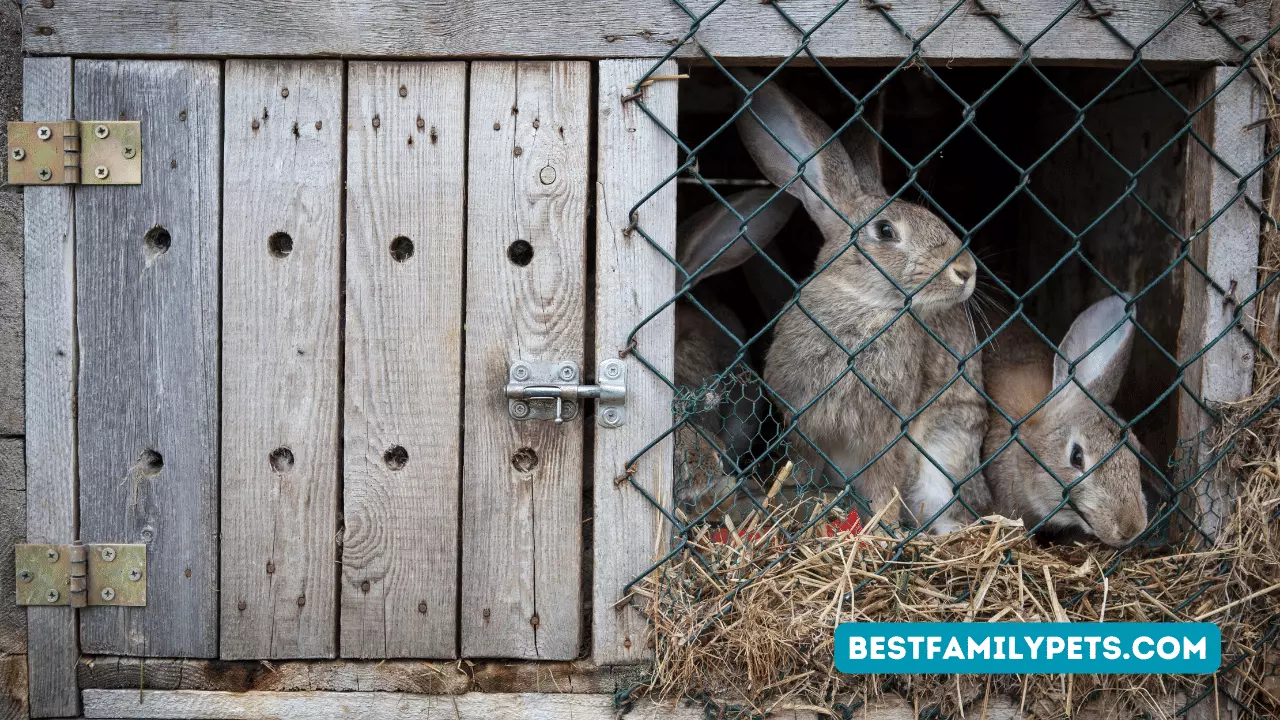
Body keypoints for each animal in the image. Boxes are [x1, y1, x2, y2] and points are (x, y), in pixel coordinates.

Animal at [732, 70, 988, 527]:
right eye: (885, 231)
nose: (966, 271)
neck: (864, 306)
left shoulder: (890, 432)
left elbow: (885, 481)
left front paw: (881, 527)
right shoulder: (803, 425)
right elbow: (803, 467)